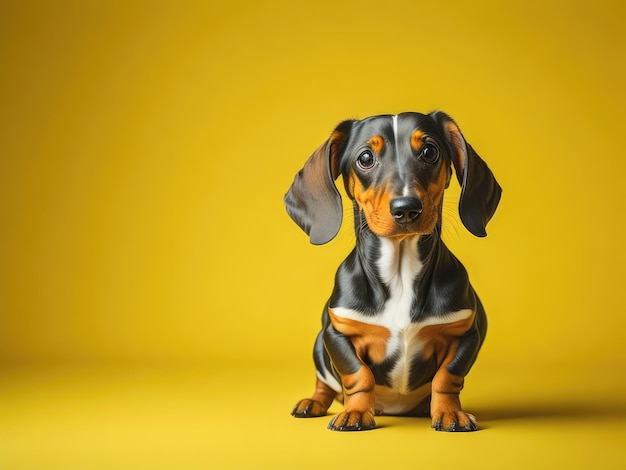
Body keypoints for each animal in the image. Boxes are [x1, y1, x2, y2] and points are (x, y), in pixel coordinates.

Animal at [286, 109, 500, 430]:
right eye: (365, 158)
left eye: (429, 152)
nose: (407, 208)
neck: (400, 275)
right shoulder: (336, 332)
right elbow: (357, 375)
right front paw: (355, 412)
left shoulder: (466, 333)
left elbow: (447, 377)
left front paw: (449, 413)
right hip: (318, 349)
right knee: (324, 383)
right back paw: (312, 403)